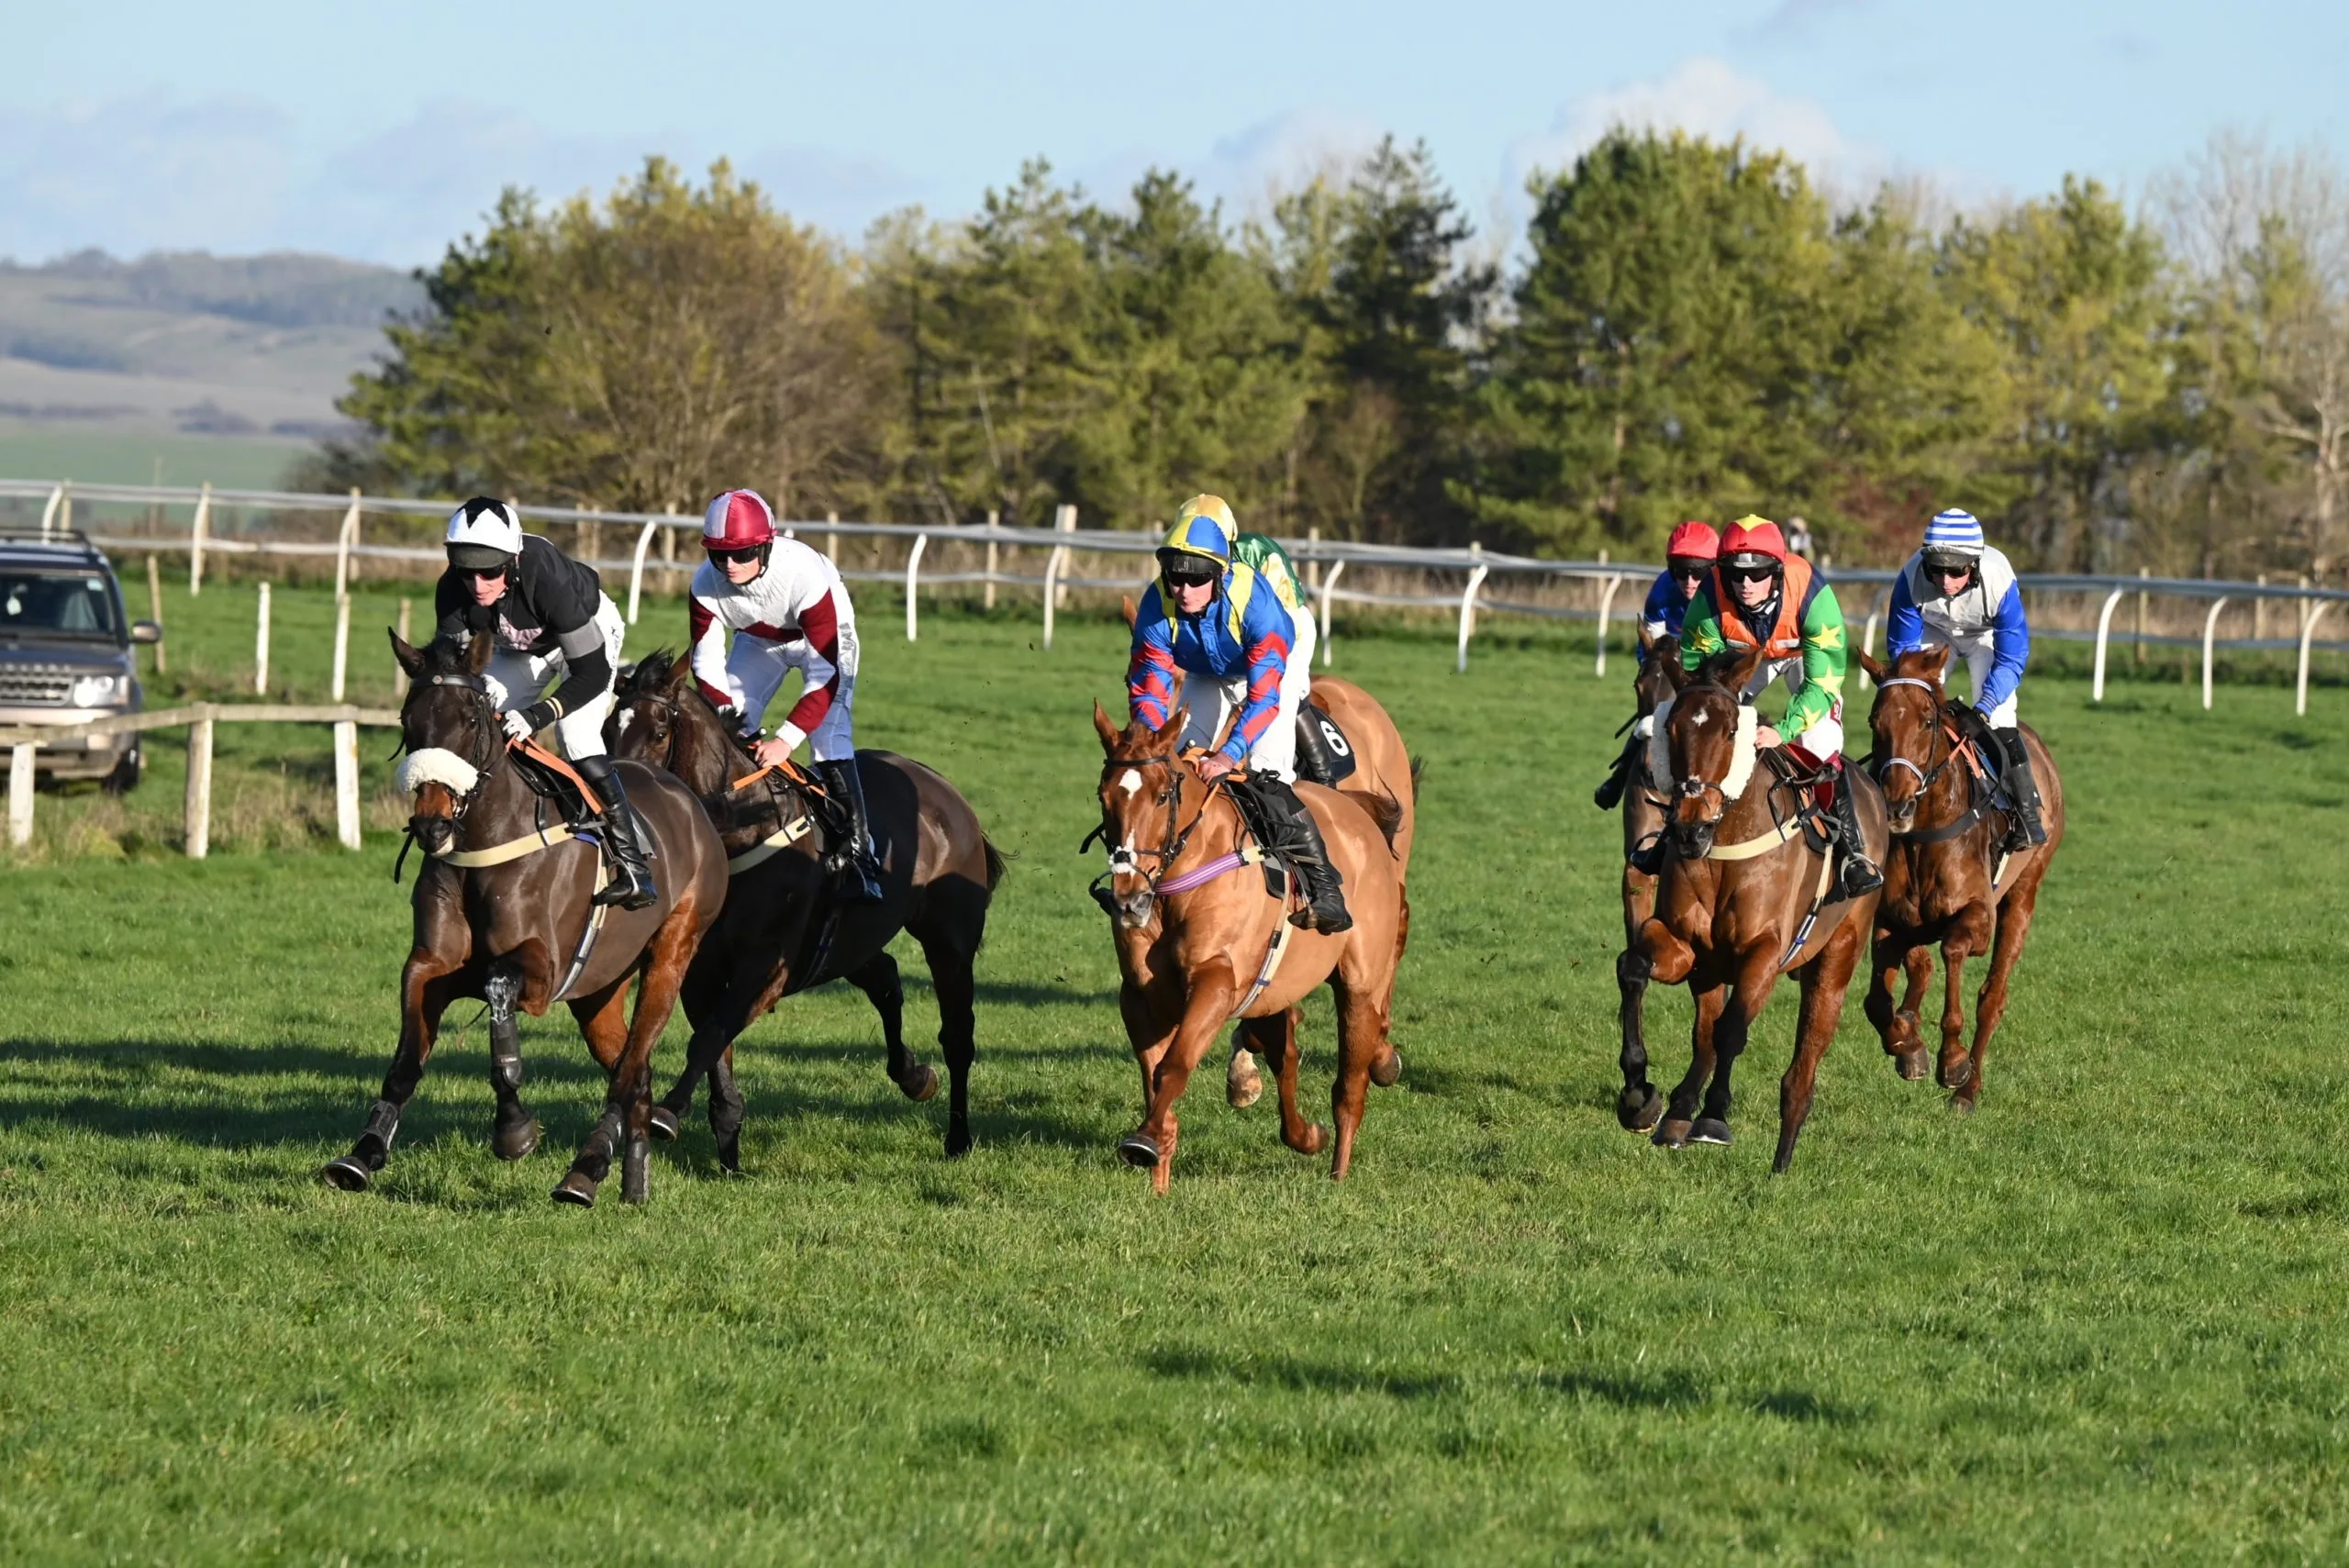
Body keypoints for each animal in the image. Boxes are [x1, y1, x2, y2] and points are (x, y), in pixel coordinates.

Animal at [323, 630, 728, 1206]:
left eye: (470, 720)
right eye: (407, 719)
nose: (431, 824)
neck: (485, 839)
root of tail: (684, 795)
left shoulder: (543, 970)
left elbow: (498, 993)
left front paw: (514, 1128)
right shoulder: (430, 966)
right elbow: (405, 1061)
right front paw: (361, 1154)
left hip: (671, 957)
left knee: (630, 1069)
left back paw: (584, 1173)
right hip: (598, 990)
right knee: (636, 1074)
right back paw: (630, 1179)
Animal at [605, 650, 1004, 1167]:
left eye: (658, 732)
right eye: (607, 729)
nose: (627, 804)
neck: (741, 831)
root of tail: (947, 793)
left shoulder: (769, 968)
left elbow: (707, 1038)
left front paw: (669, 1112)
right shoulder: (699, 967)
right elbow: (715, 1048)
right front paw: (728, 1152)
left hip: (949, 941)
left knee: (957, 1036)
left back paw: (957, 1138)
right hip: (850, 942)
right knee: (887, 980)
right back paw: (914, 1077)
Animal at [1091, 703, 1405, 1192]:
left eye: (1161, 797)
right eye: (1104, 798)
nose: (1128, 897)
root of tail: (1357, 812)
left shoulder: (1217, 981)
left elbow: (1173, 1066)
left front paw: (1143, 1142)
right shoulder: (1140, 996)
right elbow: (1153, 1076)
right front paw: (1159, 1177)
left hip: (1361, 985)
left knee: (1349, 1087)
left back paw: (1339, 1172)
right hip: (1271, 989)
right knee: (1285, 1057)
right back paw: (1306, 1135)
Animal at [1616, 648, 1890, 1173]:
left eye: (1729, 731)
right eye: (1671, 727)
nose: (1689, 828)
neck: (1724, 843)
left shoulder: (1764, 950)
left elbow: (1732, 1032)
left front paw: (1713, 1118)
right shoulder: (1685, 943)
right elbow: (1633, 968)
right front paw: (1639, 1097)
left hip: (1837, 956)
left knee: (1802, 1064)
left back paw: (1781, 1160)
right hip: (1710, 969)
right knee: (1702, 1034)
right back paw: (1677, 1114)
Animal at [1856, 647, 2066, 1112]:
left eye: (1927, 722)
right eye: (1875, 722)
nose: (1896, 806)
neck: (1923, 836)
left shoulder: (1978, 917)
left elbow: (1953, 950)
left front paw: (1951, 1060)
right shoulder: (1890, 920)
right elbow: (1878, 999)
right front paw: (1908, 1045)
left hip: (2024, 894)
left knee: (1992, 996)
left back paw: (1968, 1089)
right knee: (1922, 967)